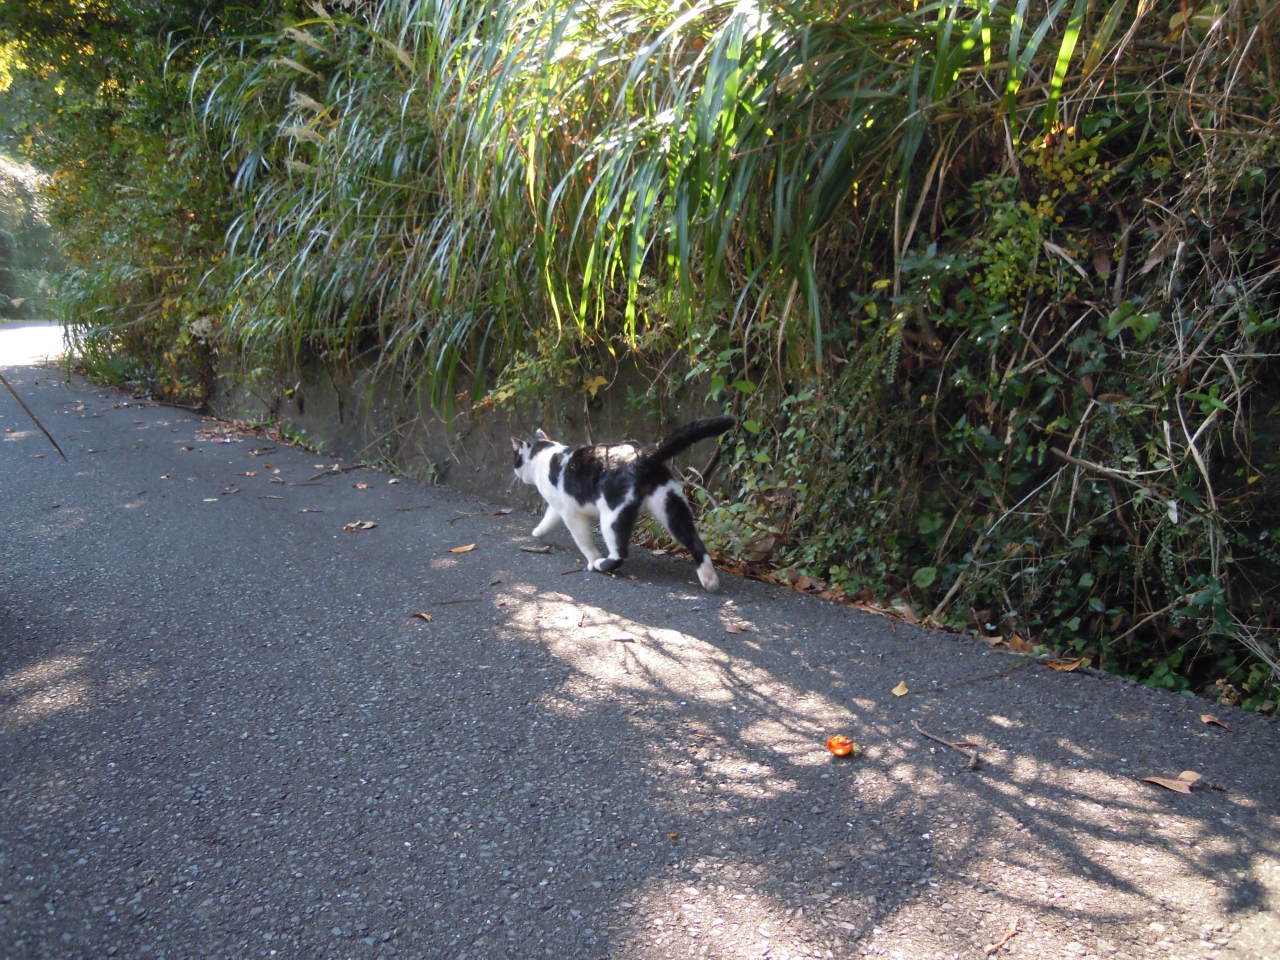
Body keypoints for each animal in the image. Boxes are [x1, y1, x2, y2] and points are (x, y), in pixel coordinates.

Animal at [504, 414, 737, 591]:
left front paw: (592, 558)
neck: (544, 455)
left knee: (619, 554)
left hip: (612, 517)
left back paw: (600, 564)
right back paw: (709, 580)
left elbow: (583, 540)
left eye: (515, 459)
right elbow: (548, 520)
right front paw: (538, 532)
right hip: (671, 507)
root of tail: (640, 456)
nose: (514, 472)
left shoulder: (571, 513)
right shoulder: (558, 507)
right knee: (694, 541)